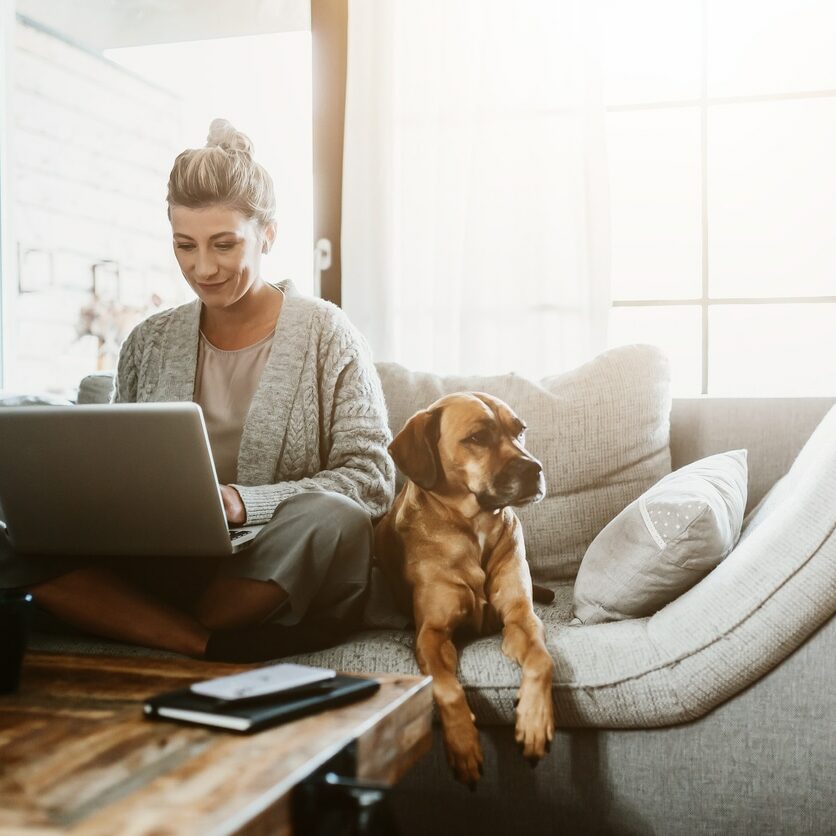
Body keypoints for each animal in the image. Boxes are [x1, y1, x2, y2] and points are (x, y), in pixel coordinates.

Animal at [374, 392, 556, 784]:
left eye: (520, 430)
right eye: (477, 438)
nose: (535, 469)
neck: (476, 528)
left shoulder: (521, 617)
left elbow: (541, 660)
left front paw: (534, 720)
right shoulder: (432, 634)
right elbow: (446, 687)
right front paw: (463, 743)